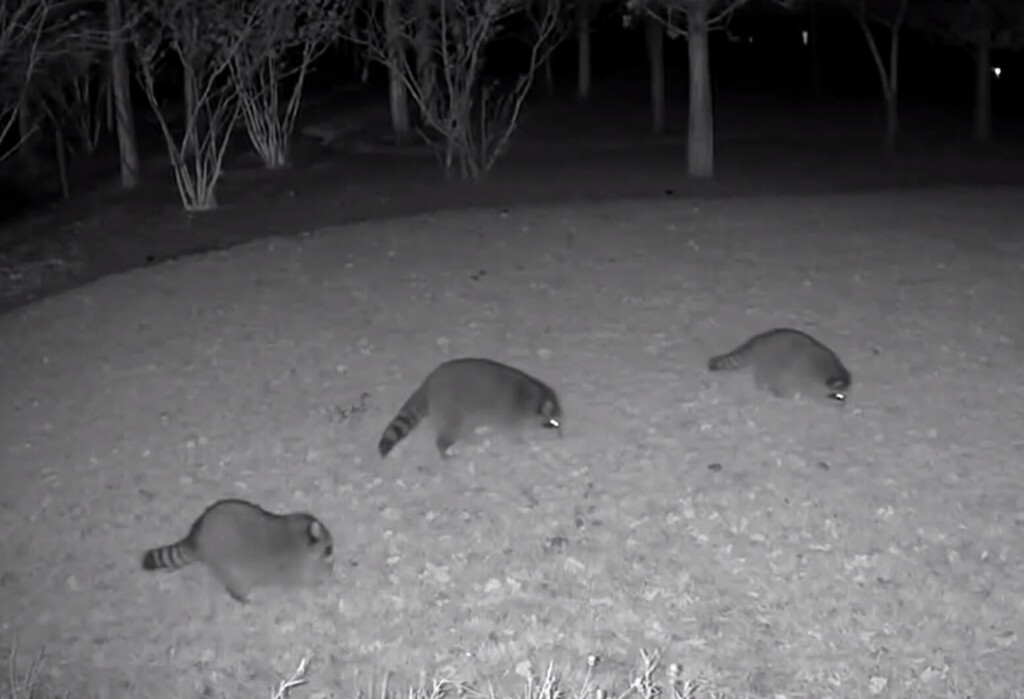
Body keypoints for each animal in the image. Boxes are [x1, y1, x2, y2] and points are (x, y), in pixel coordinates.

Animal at [141, 498, 335, 603]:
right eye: (328, 548)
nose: (332, 556)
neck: (298, 536)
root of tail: (196, 539)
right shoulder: (295, 566)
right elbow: (305, 578)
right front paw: (323, 575)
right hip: (228, 565)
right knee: (235, 582)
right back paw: (239, 595)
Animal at [378, 357, 563, 458]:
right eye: (554, 422)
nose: (561, 435)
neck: (534, 395)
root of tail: (428, 382)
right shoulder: (511, 412)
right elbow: (512, 431)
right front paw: (520, 441)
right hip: (450, 406)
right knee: (451, 430)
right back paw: (443, 449)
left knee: (466, 426)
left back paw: (469, 439)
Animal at [707, 327, 851, 402]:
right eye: (837, 395)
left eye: (843, 394)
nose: (843, 402)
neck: (831, 368)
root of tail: (758, 342)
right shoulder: (807, 375)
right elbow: (809, 389)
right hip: (771, 362)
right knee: (765, 376)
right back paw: (770, 388)